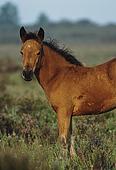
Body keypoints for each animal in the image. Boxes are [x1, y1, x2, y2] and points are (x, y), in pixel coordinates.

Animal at [19, 26, 116, 157]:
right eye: (21, 52)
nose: (27, 74)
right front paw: (74, 158)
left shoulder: (63, 112)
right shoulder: (69, 114)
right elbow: (71, 138)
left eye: (38, 52)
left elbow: (63, 140)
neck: (59, 75)